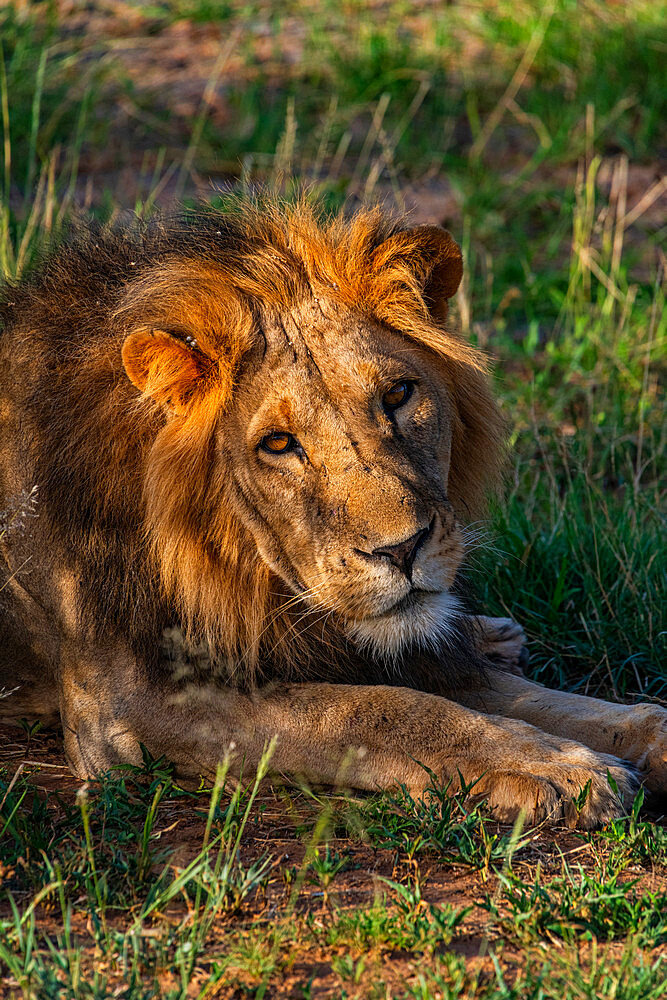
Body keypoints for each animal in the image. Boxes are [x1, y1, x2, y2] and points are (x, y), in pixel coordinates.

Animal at [0, 201, 664, 828]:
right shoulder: (130, 706)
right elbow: (379, 709)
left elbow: (546, 701)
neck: (243, 575)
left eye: (397, 394)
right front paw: (557, 768)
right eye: (278, 444)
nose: (402, 549)